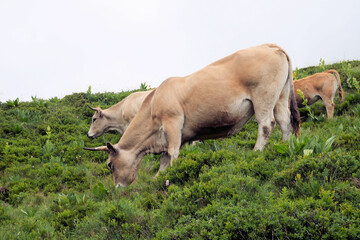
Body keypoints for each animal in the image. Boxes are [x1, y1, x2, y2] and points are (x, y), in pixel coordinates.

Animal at [84, 43, 300, 188]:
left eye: (109, 164)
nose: (117, 188)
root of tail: (270, 46)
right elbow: (164, 160)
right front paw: (158, 177)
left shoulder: (172, 123)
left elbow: (172, 154)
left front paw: (173, 173)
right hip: (280, 97)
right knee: (284, 122)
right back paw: (284, 146)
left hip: (263, 98)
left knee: (266, 125)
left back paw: (256, 152)